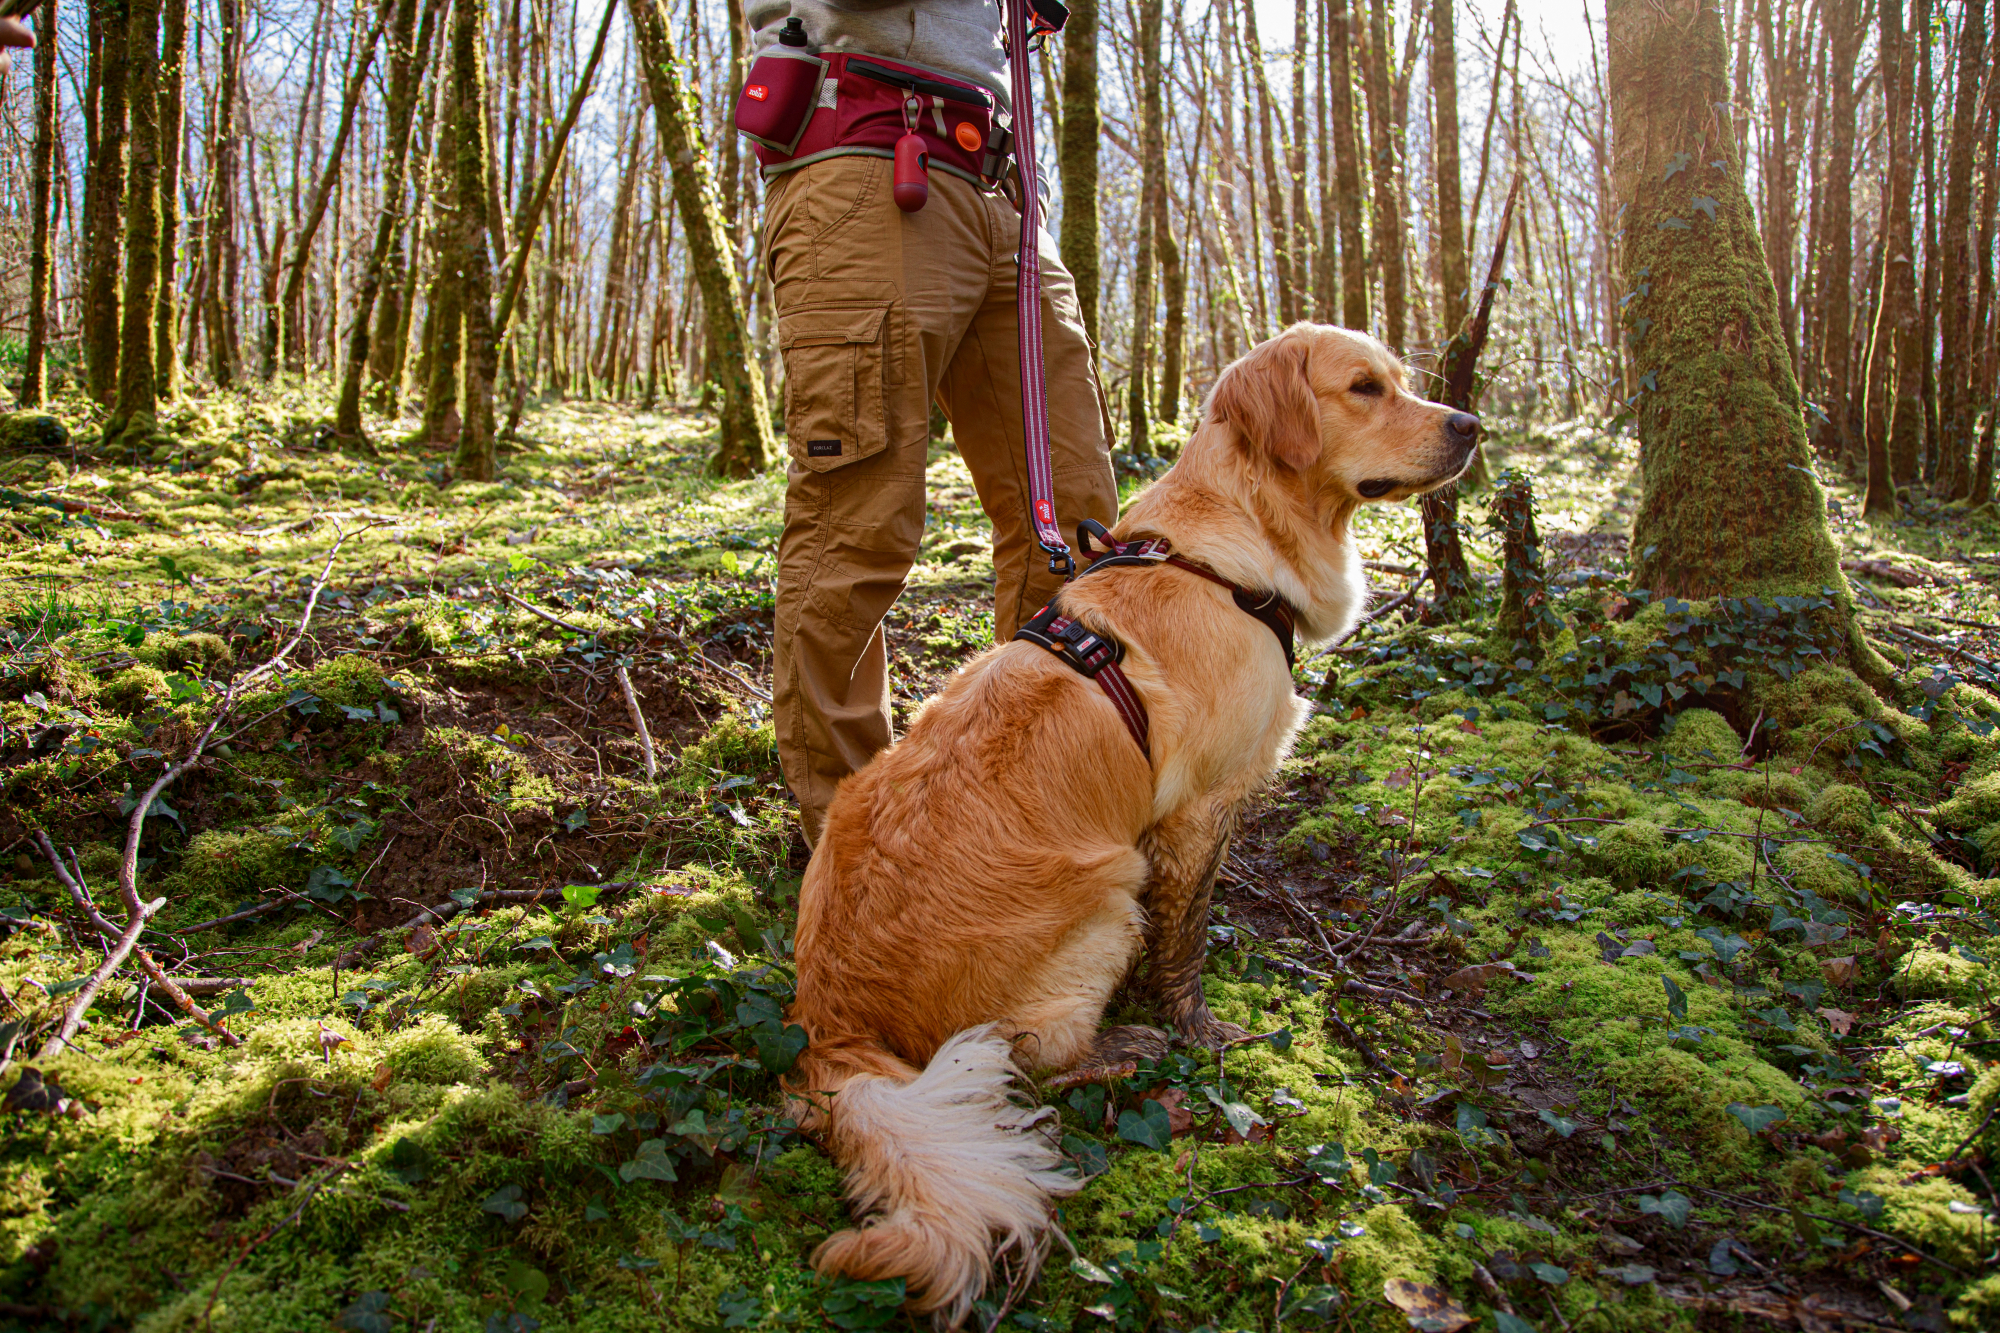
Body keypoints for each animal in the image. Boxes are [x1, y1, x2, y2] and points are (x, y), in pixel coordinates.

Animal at [788, 322, 1480, 1320]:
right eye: (1363, 388)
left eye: (1401, 380)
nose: (1472, 424)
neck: (1230, 554)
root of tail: (829, 1020)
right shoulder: (1200, 808)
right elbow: (1183, 939)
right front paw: (1198, 1027)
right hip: (1108, 894)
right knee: (1024, 1056)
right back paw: (1120, 1046)